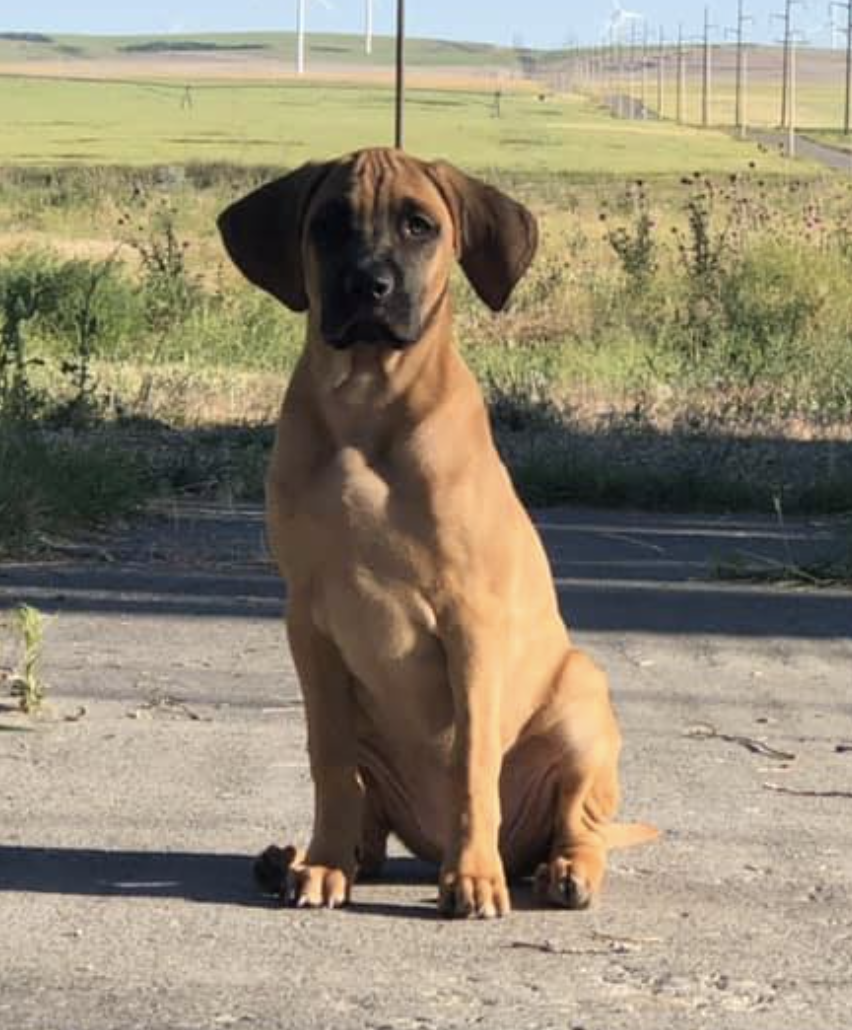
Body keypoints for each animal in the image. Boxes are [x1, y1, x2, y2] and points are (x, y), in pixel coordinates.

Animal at [218, 148, 657, 918]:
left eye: (419, 225)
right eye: (328, 224)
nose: (368, 284)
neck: (368, 402)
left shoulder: (470, 621)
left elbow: (472, 762)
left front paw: (473, 878)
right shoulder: (309, 622)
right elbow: (328, 761)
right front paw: (323, 865)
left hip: (581, 697)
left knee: (580, 823)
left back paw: (562, 869)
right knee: (366, 823)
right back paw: (303, 858)